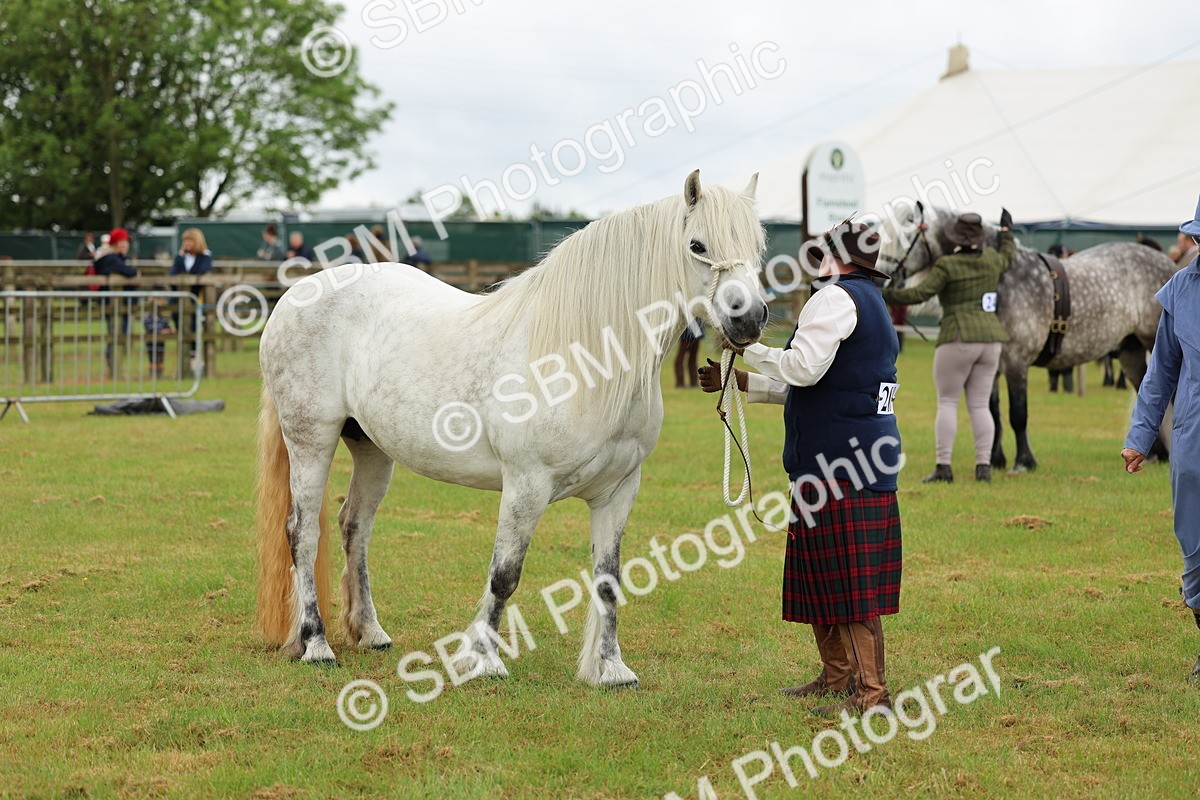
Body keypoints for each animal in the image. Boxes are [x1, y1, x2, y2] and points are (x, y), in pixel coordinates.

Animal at [254, 170, 769, 687]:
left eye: (758, 246)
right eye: (697, 245)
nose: (749, 318)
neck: (582, 361)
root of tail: (297, 294)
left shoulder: (619, 490)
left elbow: (608, 579)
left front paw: (610, 668)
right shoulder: (526, 484)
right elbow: (505, 574)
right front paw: (484, 659)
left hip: (373, 450)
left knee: (354, 527)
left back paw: (371, 632)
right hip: (311, 441)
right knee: (303, 533)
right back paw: (315, 643)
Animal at [876, 202, 1176, 472]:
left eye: (904, 238)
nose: (882, 281)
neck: (1004, 277)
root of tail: (1170, 266)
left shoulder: (1016, 362)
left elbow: (1017, 415)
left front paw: (1023, 462)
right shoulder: (993, 365)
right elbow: (993, 413)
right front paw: (996, 460)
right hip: (1130, 351)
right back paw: (1156, 455)